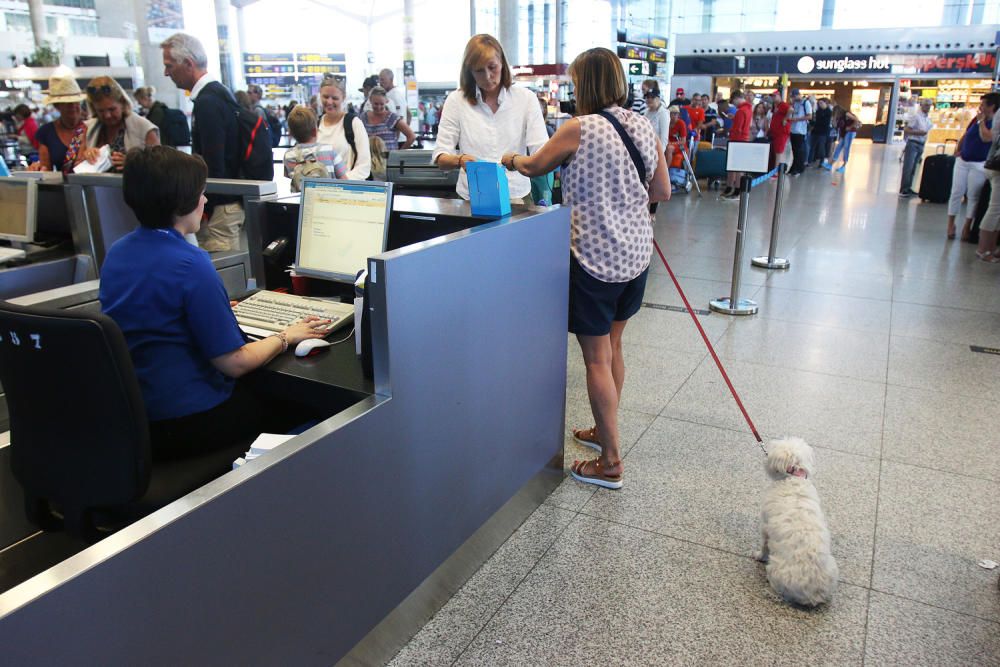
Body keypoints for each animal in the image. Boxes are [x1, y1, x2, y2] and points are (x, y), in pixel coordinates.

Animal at [756, 436, 836, 608]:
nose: (765, 454)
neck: (793, 478)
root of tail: (814, 595)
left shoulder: (765, 526)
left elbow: (764, 545)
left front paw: (759, 555)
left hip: (776, 569)